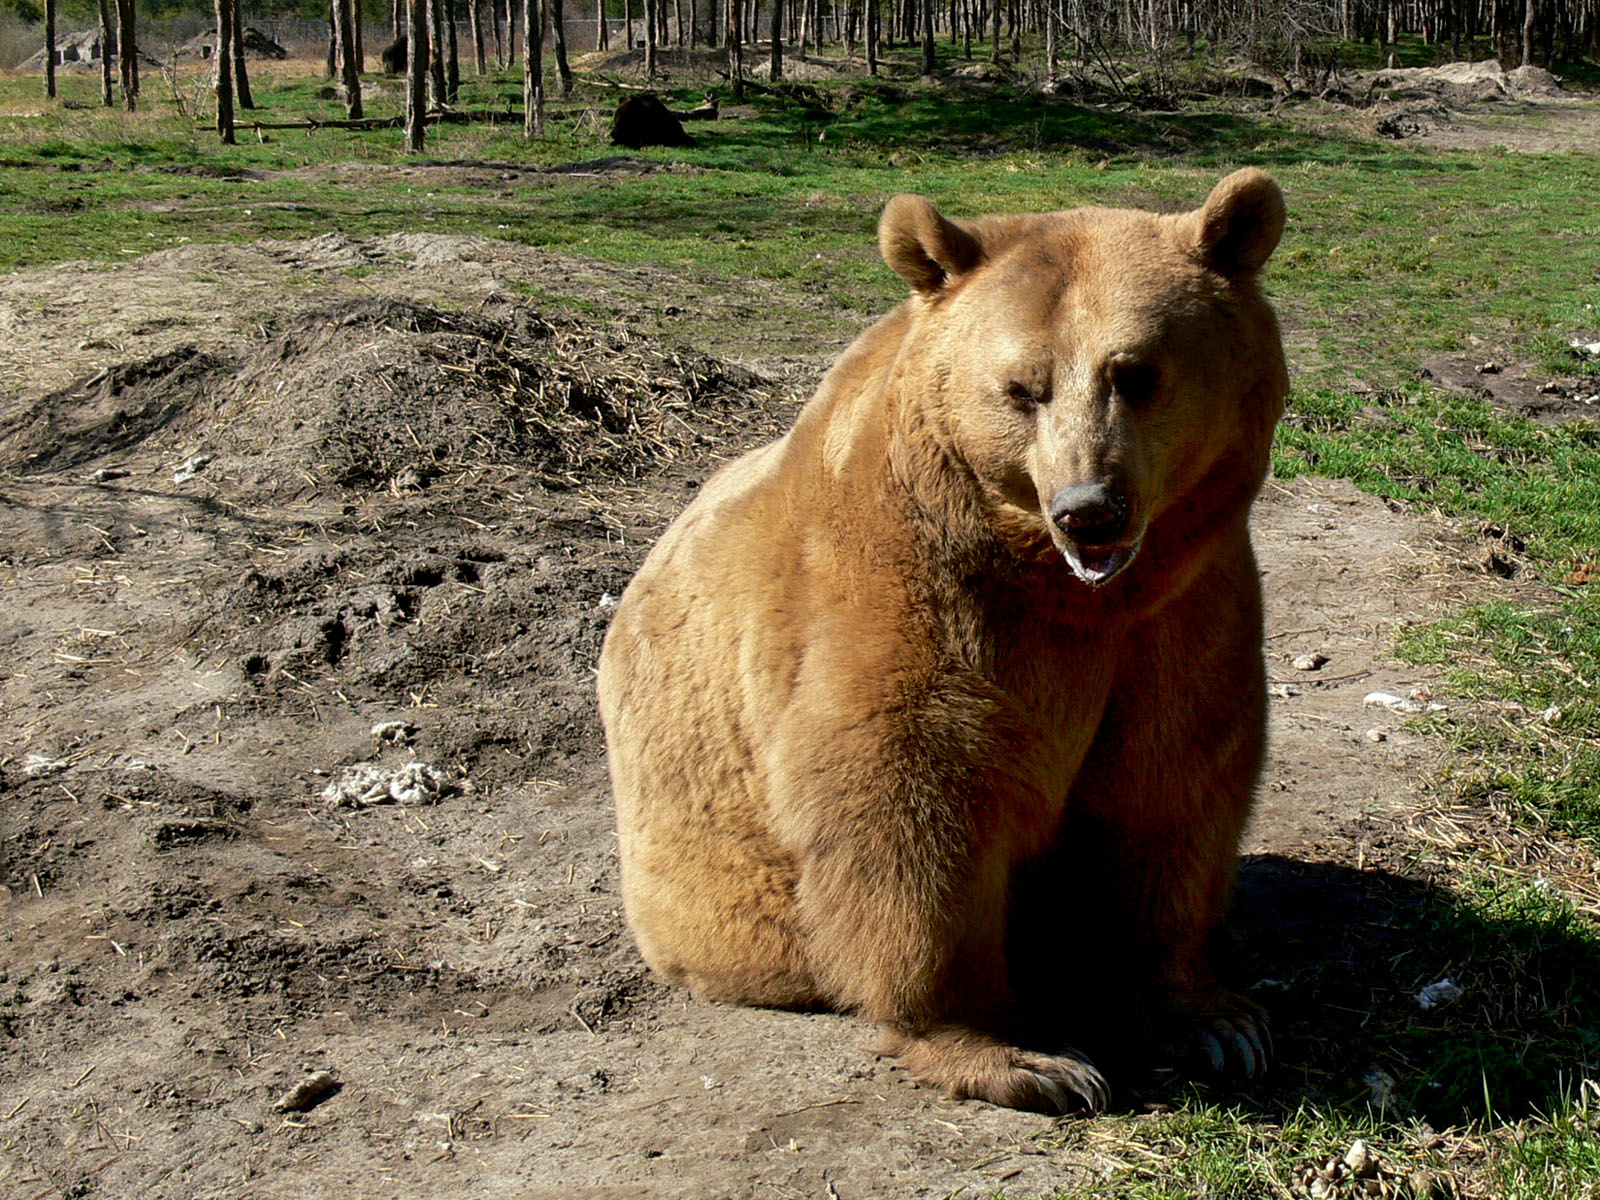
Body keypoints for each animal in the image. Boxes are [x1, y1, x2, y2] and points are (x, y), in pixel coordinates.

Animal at [598, 169, 1286, 1120]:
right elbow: (911, 794)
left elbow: (1170, 782)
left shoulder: (1184, 602)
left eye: (1136, 373)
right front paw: (1023, 1055)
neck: (1063, 593)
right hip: (709, 882)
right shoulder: (905, 583)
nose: (1089, 507)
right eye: (1023, 387)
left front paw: (1215, 1019)